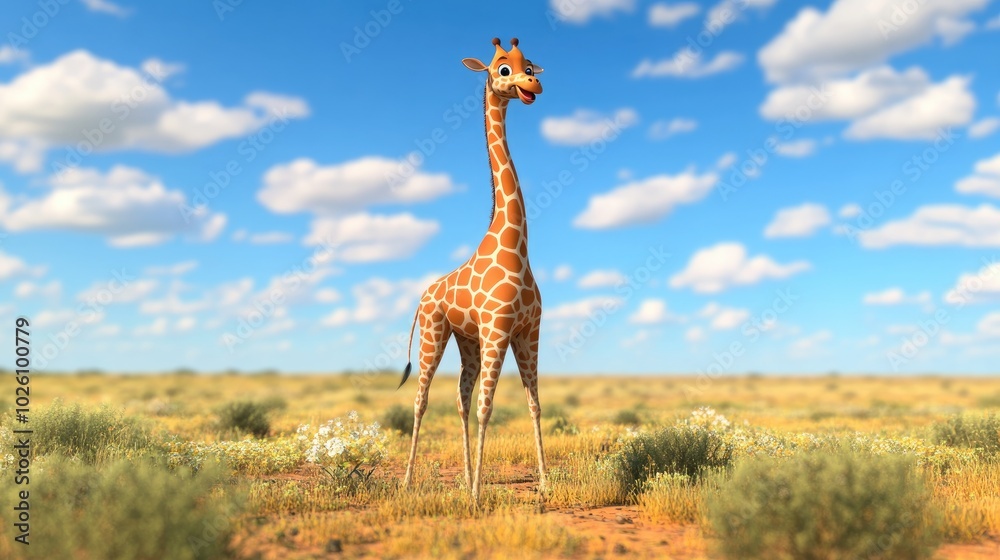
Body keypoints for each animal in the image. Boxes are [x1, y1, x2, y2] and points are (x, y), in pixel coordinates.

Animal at [397, 37, 545, 504]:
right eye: (502, 69)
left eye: (529, 65)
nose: (533, 85)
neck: (517, 248)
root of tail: (422, 295)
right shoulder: (498, 329)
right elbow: (487, 408)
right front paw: (479, 496)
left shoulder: (527, 332)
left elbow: (534, 404)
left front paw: (546, 485)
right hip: (434, 332)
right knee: (423, 398)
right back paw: (409, 482)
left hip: (467, 341)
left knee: (459, 398)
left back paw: (463, 478)